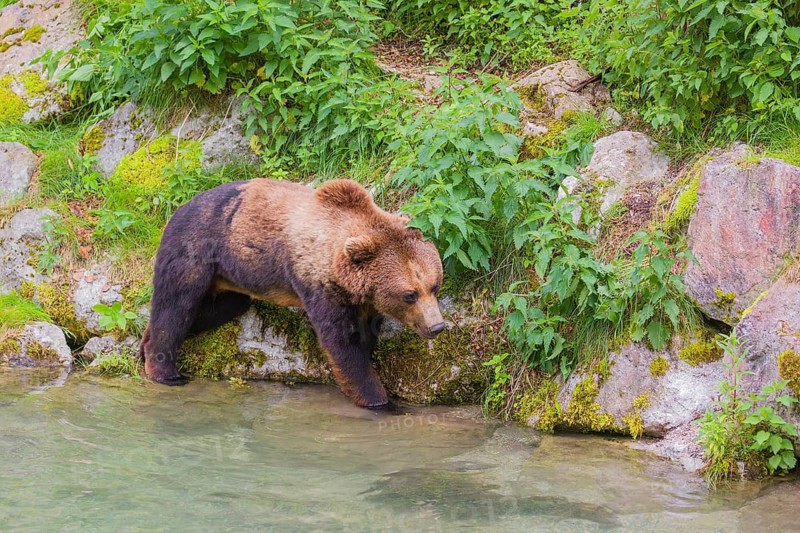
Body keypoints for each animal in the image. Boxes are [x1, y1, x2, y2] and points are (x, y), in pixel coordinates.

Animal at [139, 178, 446, 408]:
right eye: (410, 294)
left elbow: (365, 335)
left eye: (434, 285)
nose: (438, 326)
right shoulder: (318, 283)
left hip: (229, 281)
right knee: (176, 308)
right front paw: (378, 400)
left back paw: (145, 343)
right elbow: (342, 344)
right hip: (193, 252)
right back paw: (166, 372)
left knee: (211, 310)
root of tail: (176, 210)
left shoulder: (360, 298)